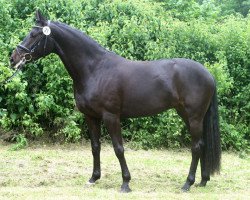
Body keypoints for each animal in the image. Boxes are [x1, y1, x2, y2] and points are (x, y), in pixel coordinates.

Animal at [9, 10, 221, 192]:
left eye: (34, 34)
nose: (13, 58)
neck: (95, 70)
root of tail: (208, 74)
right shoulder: (91, 117)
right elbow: (95, 147)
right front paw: (93, 178)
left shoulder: (111, 116)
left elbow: (118, 148)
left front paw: (125, 183)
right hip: (186, 114)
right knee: (202, 145)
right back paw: (202, 181)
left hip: (194, 116)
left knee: (196, 146)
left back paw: (187, 183)